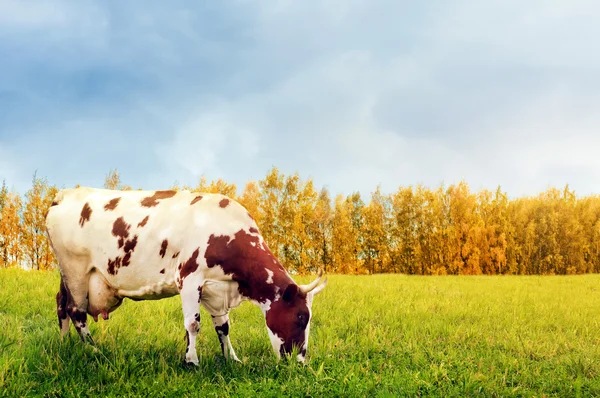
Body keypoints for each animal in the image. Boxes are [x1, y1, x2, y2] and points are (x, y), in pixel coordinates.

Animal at [45, 187, 328, 364]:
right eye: (301, 317)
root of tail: (66, 194)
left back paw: (64, 343)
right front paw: (191, 360)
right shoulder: (190, 279)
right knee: (76, 311)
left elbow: (223, 326)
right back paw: (93, 350)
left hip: (66, 274)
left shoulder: (217, 287)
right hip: (76, 271)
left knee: (61, 304)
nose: (300, 361)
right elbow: (193, 324)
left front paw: (231, 358)